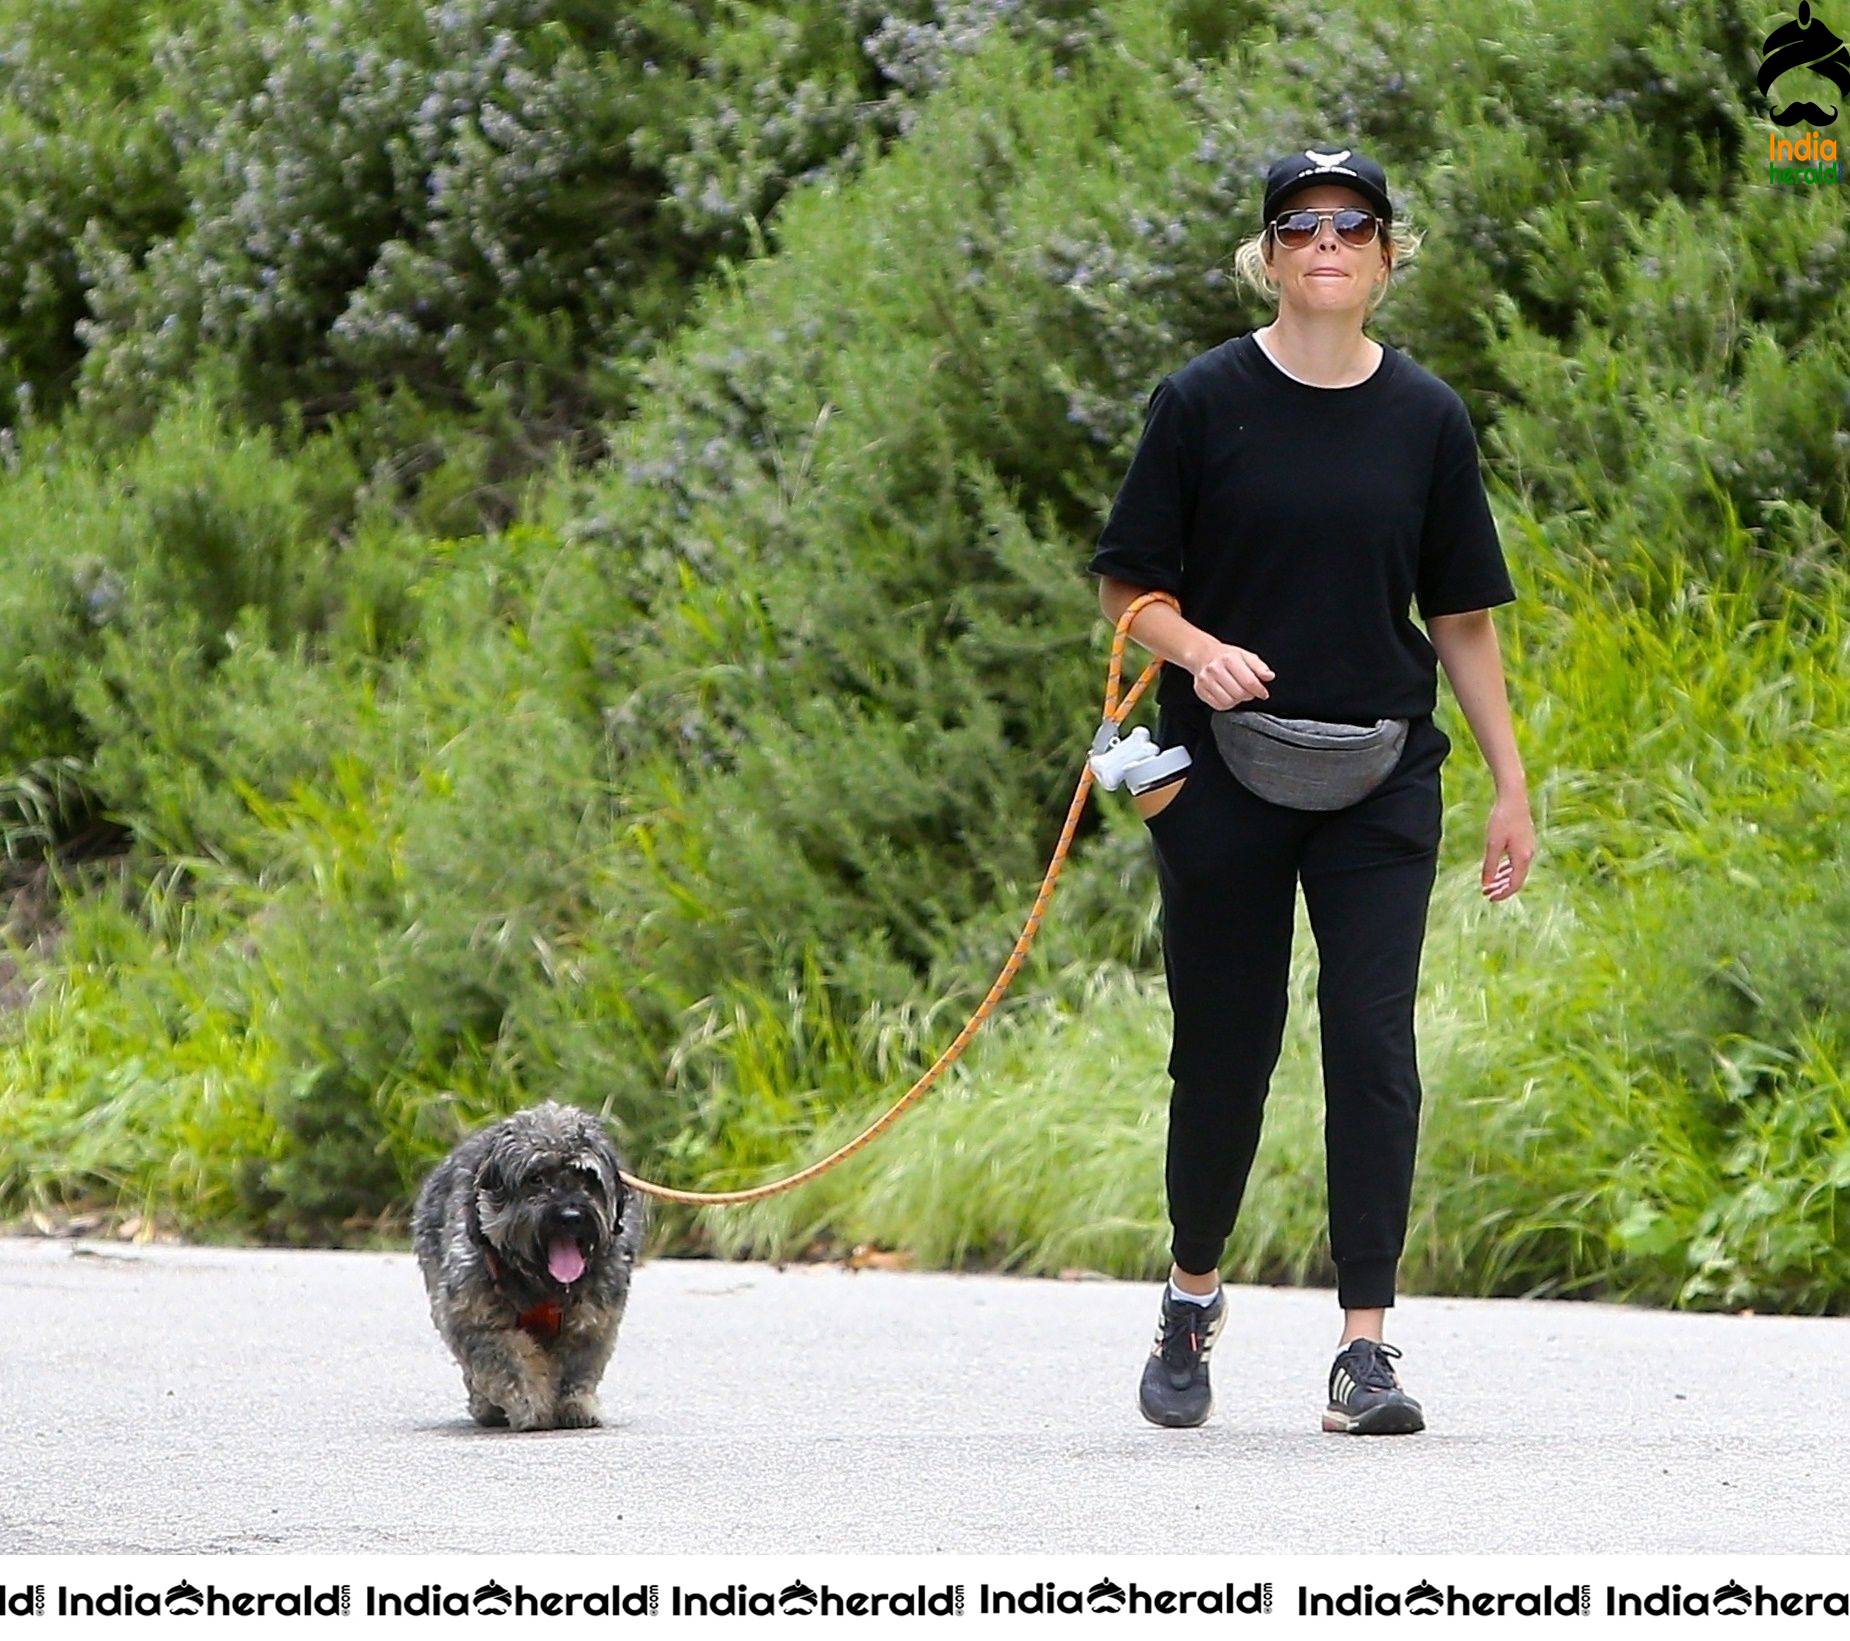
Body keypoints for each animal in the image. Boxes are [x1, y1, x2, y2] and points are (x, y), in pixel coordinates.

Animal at [416, 1102, 647, 1435]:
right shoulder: (477, 1321)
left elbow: (577, 1368)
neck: (541, 1284)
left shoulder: (593, 1321)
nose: (571, 1216)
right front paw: (532, 1406)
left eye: (587, 1179)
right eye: (536, 1178)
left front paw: (575, 1405)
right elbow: (511, 1364)